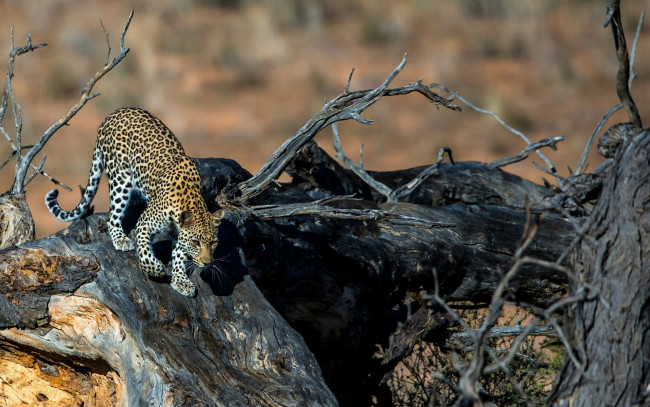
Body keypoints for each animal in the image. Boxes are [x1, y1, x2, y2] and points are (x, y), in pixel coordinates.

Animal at [45, 107, 223, 296]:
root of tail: (112, 115)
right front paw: (156, 269)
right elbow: (144, 251)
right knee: (113, 217)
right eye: (196, 242)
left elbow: (180, 255)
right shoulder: (145, 222)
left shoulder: (180, 234)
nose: (207, 263)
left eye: (213, 242)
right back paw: (121, 239)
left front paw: (181, 280)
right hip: (120, 179)